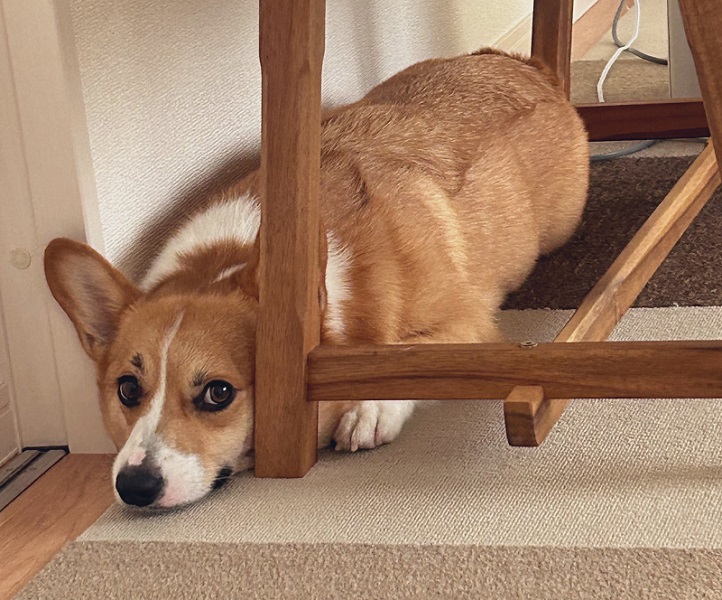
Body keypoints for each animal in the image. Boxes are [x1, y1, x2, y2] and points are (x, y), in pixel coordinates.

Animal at [43, 48, 584, 506]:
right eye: (127, 390)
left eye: (218, 393)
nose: (134, 487)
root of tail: (529, 67)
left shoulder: (468, 322)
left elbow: (416, 359)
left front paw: (370, 410)